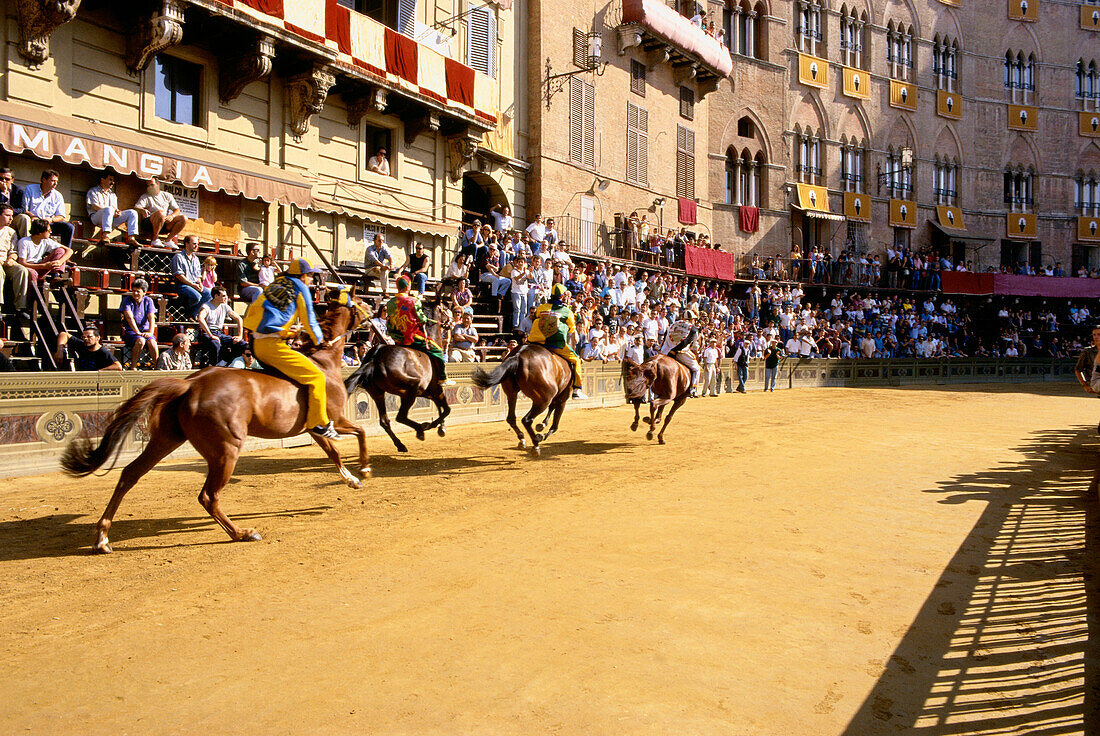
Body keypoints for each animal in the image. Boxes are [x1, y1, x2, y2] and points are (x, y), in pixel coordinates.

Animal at [62, 286, 371, 550]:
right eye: (358, 302)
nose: (371, 312)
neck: (323, 361)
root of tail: (190, 384)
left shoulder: (315, 429)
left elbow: (334, 454)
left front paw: (352, 479)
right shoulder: (334, 420)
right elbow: (360, 433)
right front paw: (365, 469)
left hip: (166, 439)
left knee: (129, 474)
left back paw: (102, 538)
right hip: (226, 449)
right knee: (208, 496)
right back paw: (242, 533)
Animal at [338, 294, 451, 451]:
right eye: (444, 308)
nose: (450, 321)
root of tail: (375, 358)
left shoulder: (429, 392)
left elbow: (441, 407)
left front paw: (442, 428)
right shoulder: (435, 388)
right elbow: (446, 409)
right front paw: (434, 426)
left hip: (377, 393)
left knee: (385, 421)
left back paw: (401, 444)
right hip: (410, 390)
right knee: (401, 416)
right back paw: (421, 429)